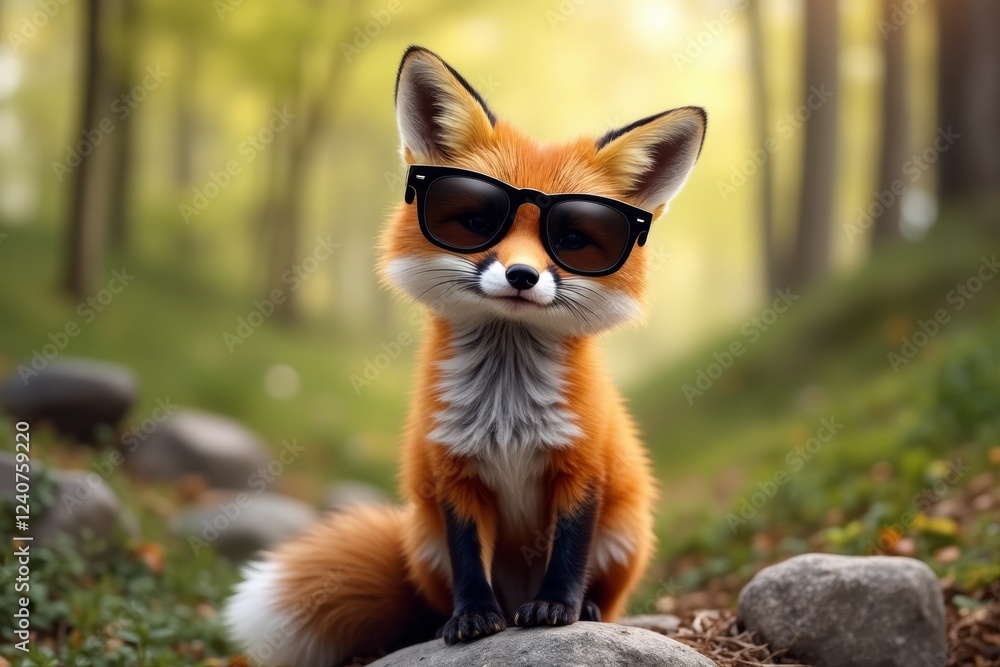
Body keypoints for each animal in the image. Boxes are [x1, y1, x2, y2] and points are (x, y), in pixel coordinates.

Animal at [223, 45, 706, 667]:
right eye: (476, 222)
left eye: (573, 241)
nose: (522, 275)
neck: (507, 410)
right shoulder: (452, 470)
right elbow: (468, 558)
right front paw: (473, 617)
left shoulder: (582, 467)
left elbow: (569, 551)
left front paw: (558, 608)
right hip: (423, 541)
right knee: (434, 596)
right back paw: (444, 620)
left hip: (626, 535)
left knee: (606, 590)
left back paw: (590, 608)